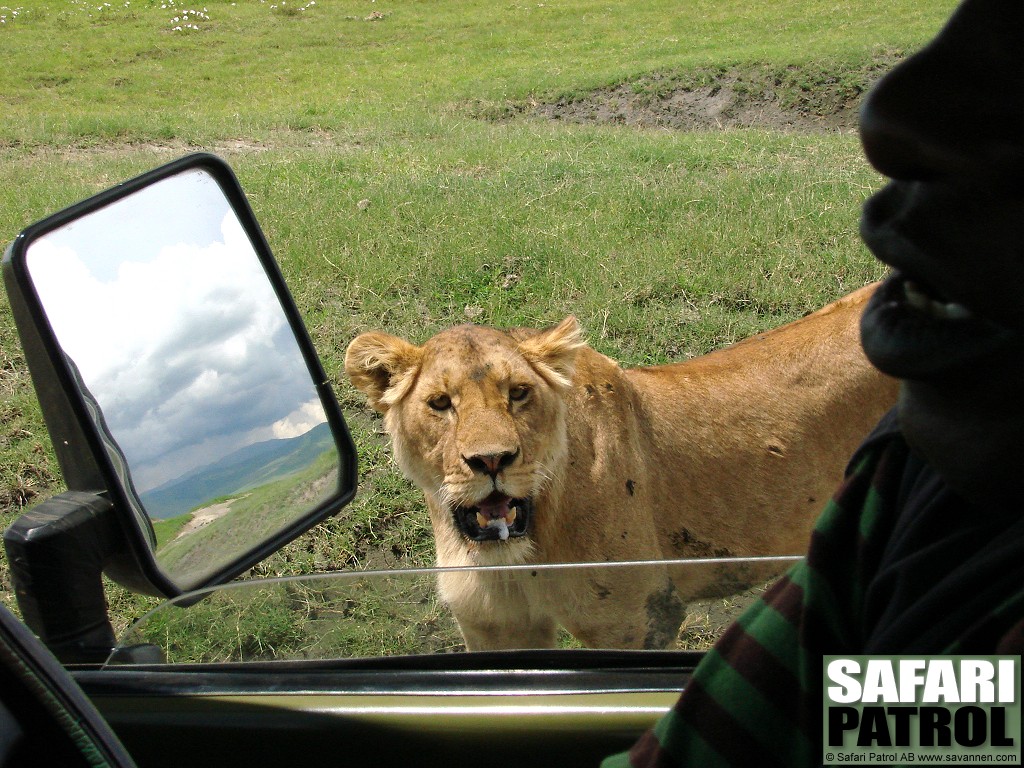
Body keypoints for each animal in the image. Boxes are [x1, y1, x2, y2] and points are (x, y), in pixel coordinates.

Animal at [344, 286, 897, 651]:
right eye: (440, 403)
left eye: (518, 393)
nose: (492, 460)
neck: (520, 554)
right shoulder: (495, 628)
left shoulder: (637, 620)